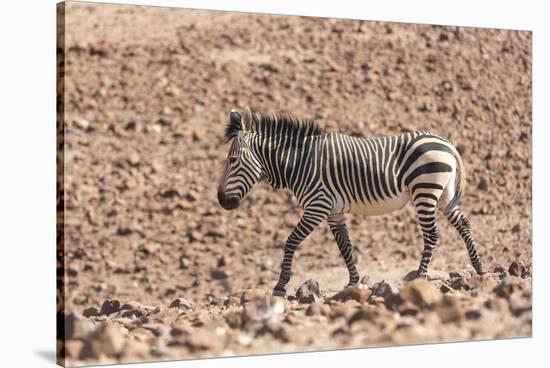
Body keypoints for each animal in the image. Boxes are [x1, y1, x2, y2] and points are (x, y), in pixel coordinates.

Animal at [218, 105, 486, 296]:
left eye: (232, 160)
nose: (221, 201)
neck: (300, 163)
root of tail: (448, 144)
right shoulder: (333, 212)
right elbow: (345, 246)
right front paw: (353, 283)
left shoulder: (317, 206)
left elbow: (291, 241)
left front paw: (280, 285)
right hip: (444, 195)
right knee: (464, 224)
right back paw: (480, 268)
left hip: (425, 190)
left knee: (431, 234)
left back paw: (420, 276)